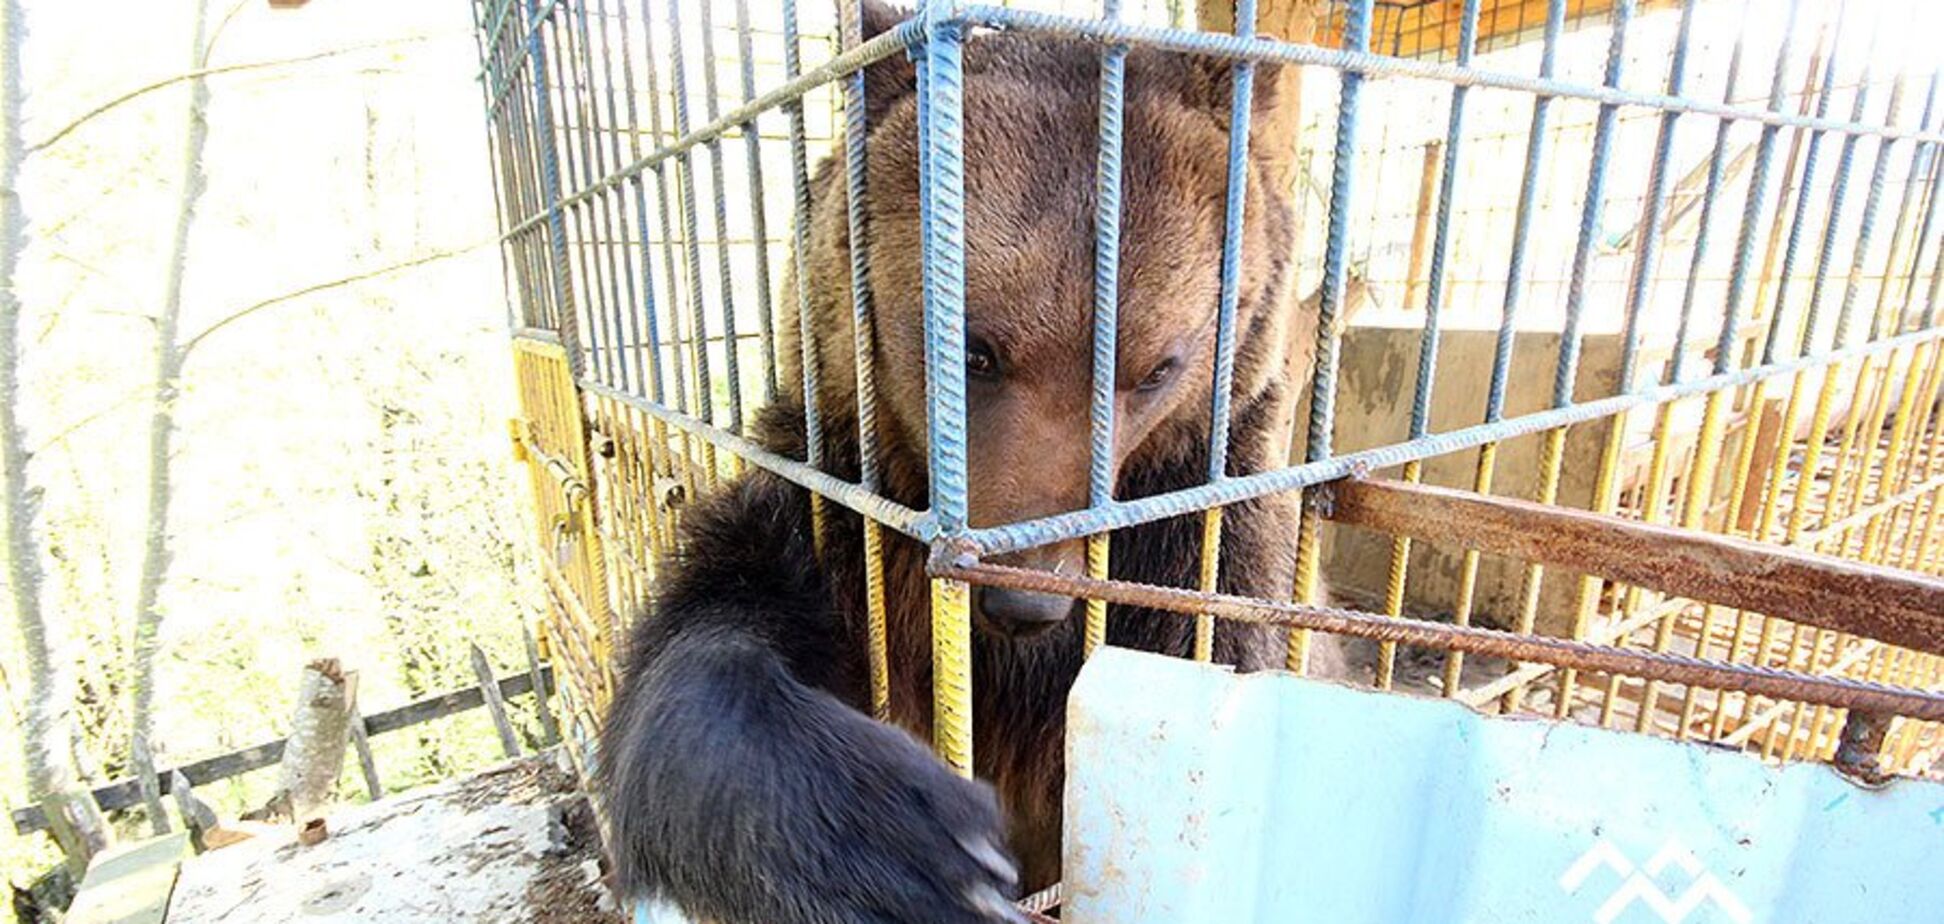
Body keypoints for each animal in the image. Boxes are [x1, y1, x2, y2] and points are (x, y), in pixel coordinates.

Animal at [598, 3, 1345, 922]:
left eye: (1157, 368)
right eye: (974, 349)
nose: (1024, 599)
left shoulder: (1197, 539)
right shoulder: (837, 512)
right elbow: (708, 629)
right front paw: (908, 845)